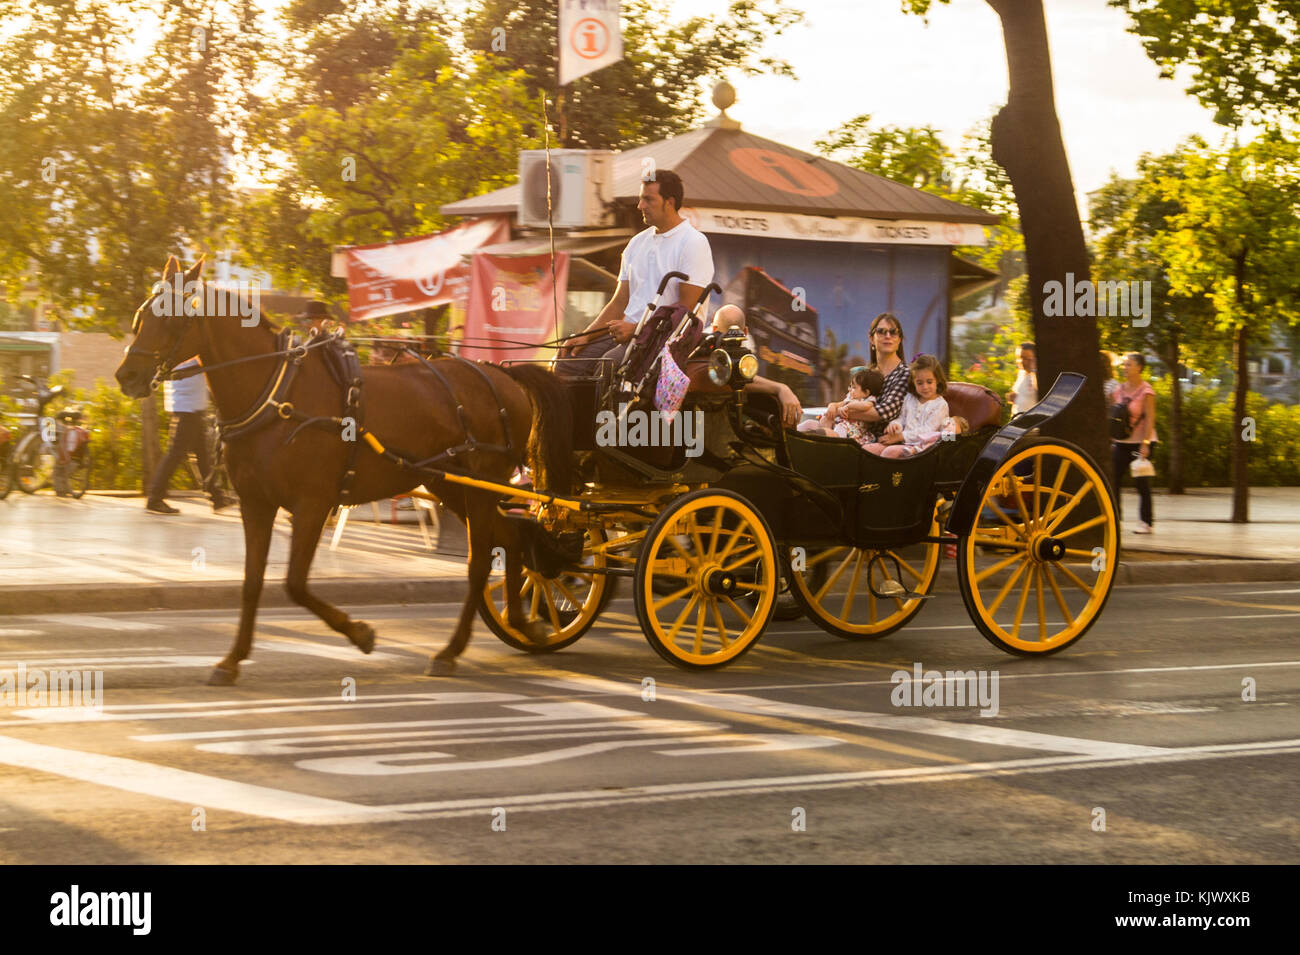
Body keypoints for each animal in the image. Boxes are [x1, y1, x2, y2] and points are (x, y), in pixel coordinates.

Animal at [114, 257, 572, 686]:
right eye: (141, 315)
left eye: (171, 318)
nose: (127, 375)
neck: (276, 392)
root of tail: (501, 374)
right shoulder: (256, 504)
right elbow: (251, 583)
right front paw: (232, 659)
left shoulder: (312, 504)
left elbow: (295, 583)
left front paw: (360, 633)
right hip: (451, 486)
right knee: (510, 538)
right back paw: (523, 622)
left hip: (482, 485)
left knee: (481, 561)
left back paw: (453, 649)